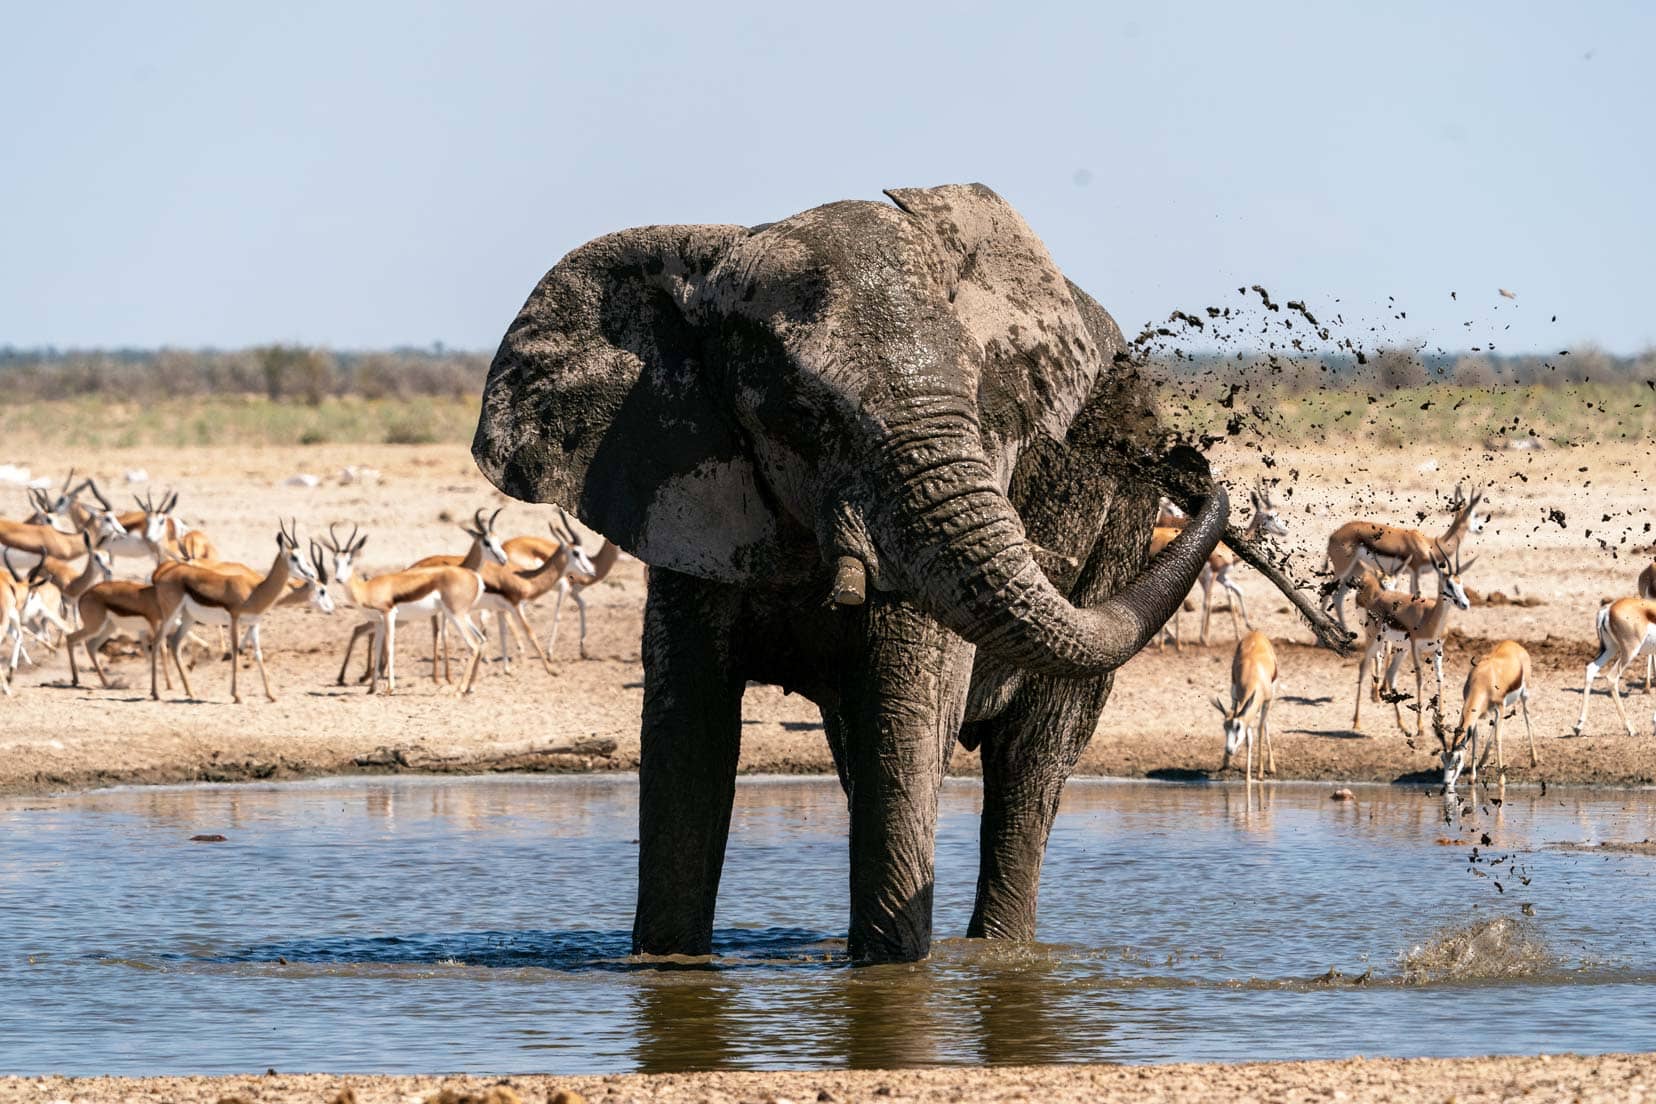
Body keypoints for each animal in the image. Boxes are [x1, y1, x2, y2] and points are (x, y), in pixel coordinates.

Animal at [473, 181, 1245, 960]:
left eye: (986, 399)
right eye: (801, 414)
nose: (1197, 471)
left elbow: (904, 725)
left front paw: (894, 970)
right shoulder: (682, 489)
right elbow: (688, 735)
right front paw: (668, 965)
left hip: (1123, 517)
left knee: (1032, 757)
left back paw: (999, 951)